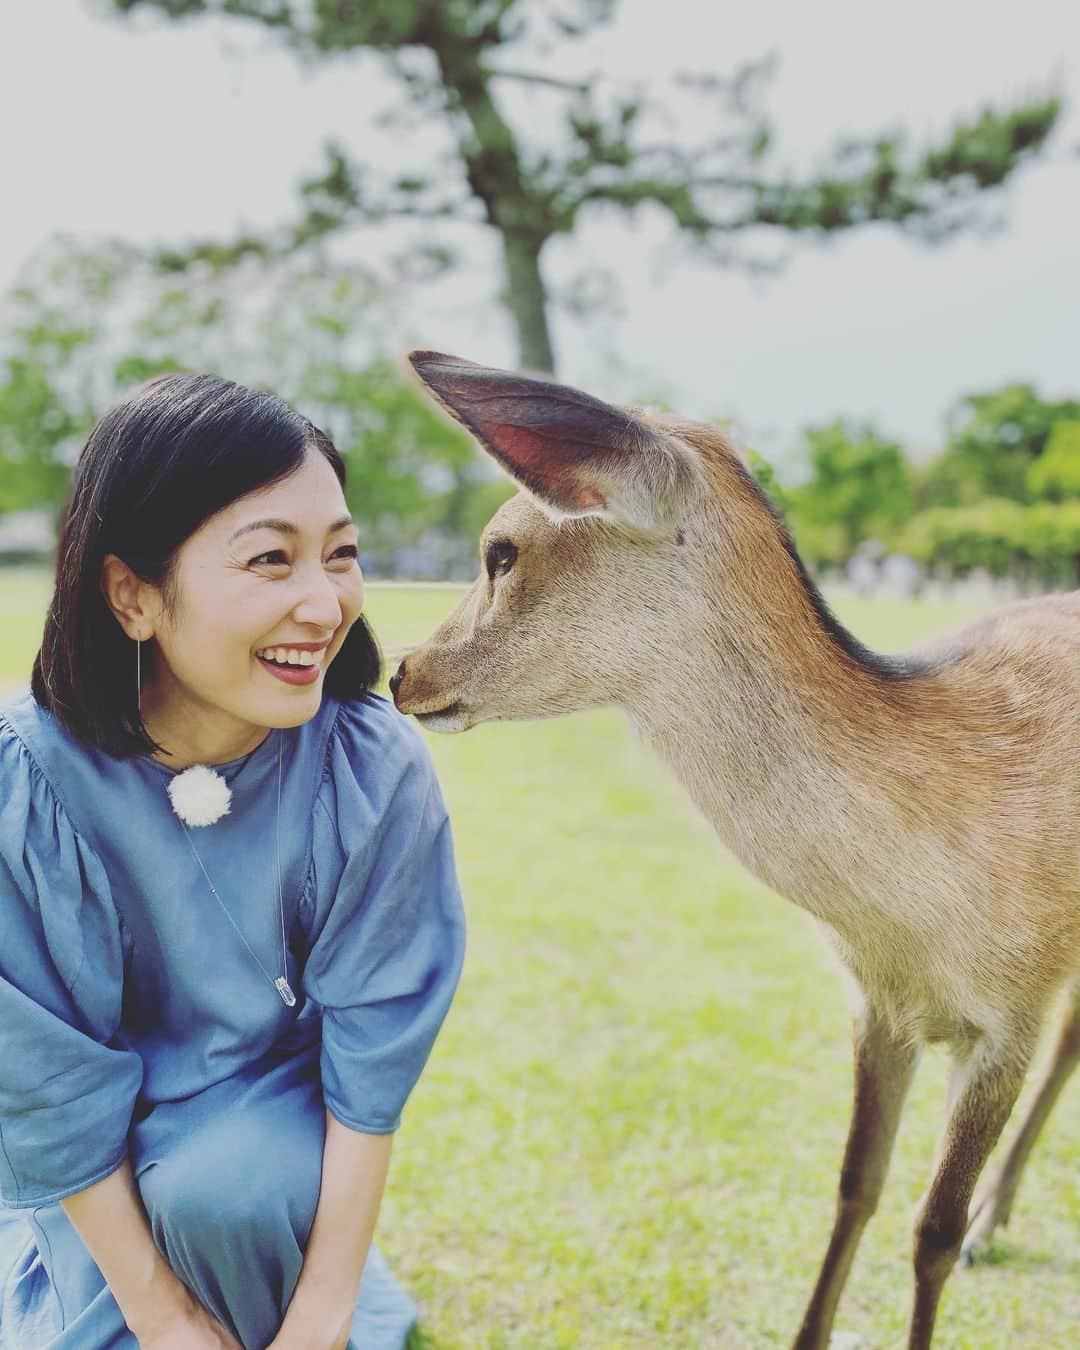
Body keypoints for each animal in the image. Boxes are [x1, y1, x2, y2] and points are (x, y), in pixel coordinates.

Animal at [391, 351, 1080, 1350]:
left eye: (500, 552)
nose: (401, 670)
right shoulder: (875, 1003)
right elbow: (855, 1188)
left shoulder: (1011, 1010)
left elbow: (930, 1234)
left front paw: (963, 1229)